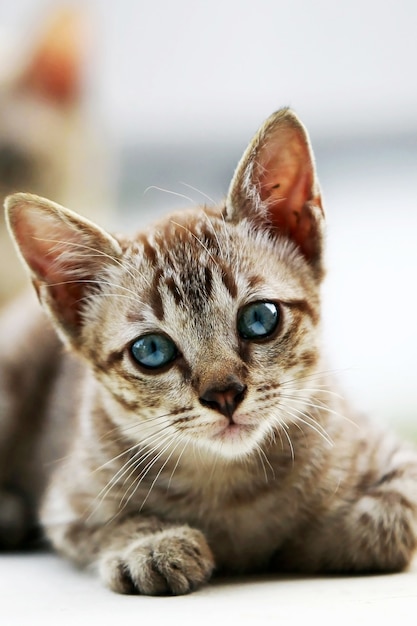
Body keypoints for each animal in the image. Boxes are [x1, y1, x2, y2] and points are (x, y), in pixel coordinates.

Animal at [0, 108, 416, 596]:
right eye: (151, 349)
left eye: (260, 318)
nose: (224, 394)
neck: (230, 482)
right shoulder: (67, 502)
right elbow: (105, 526)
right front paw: (152, 545)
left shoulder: (396, 458)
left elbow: (386, 519)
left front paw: (312, 537)